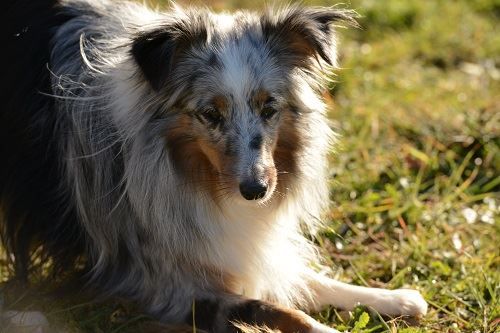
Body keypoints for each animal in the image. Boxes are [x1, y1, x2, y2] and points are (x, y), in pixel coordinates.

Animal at [0, 0, 426, 332]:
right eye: (210, 114)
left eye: (269, 107)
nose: (256, 191)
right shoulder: (169, 284)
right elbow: (280, 313)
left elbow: (305, 277)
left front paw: (395, 298)